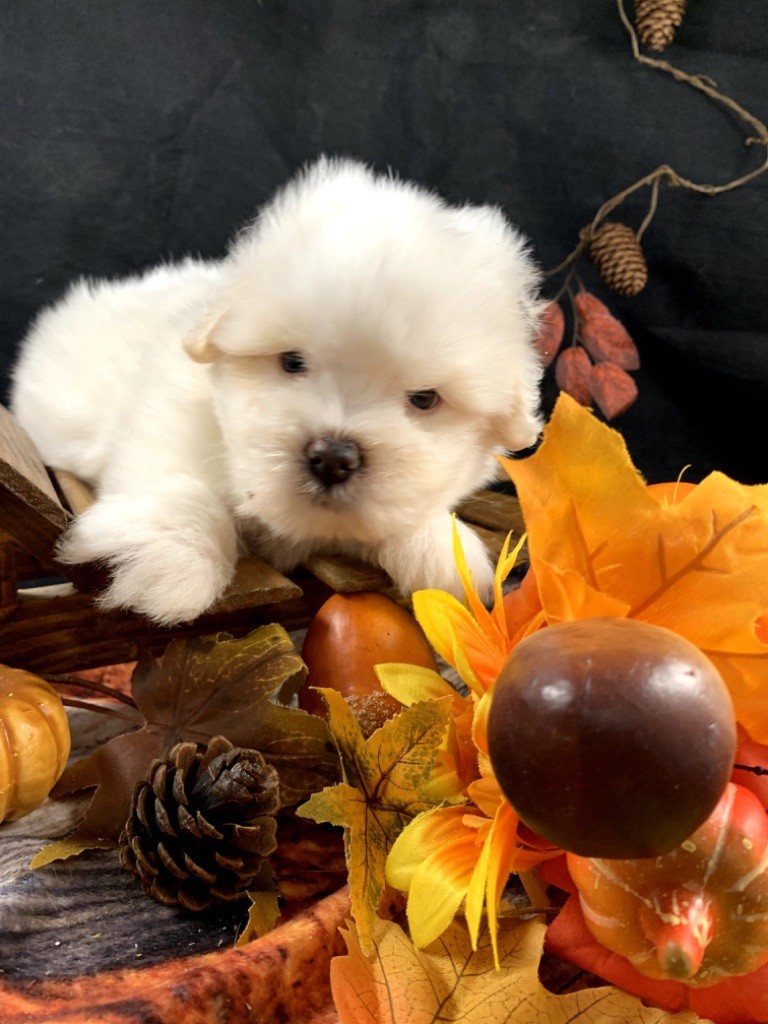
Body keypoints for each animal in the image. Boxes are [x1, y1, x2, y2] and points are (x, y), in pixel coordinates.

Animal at [9, 158, 544, 622]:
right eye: (291, 362)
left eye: (425, 399)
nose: (333, 458)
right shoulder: (164, 417)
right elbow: (180, 487)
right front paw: (172, 562)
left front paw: (439, 550)